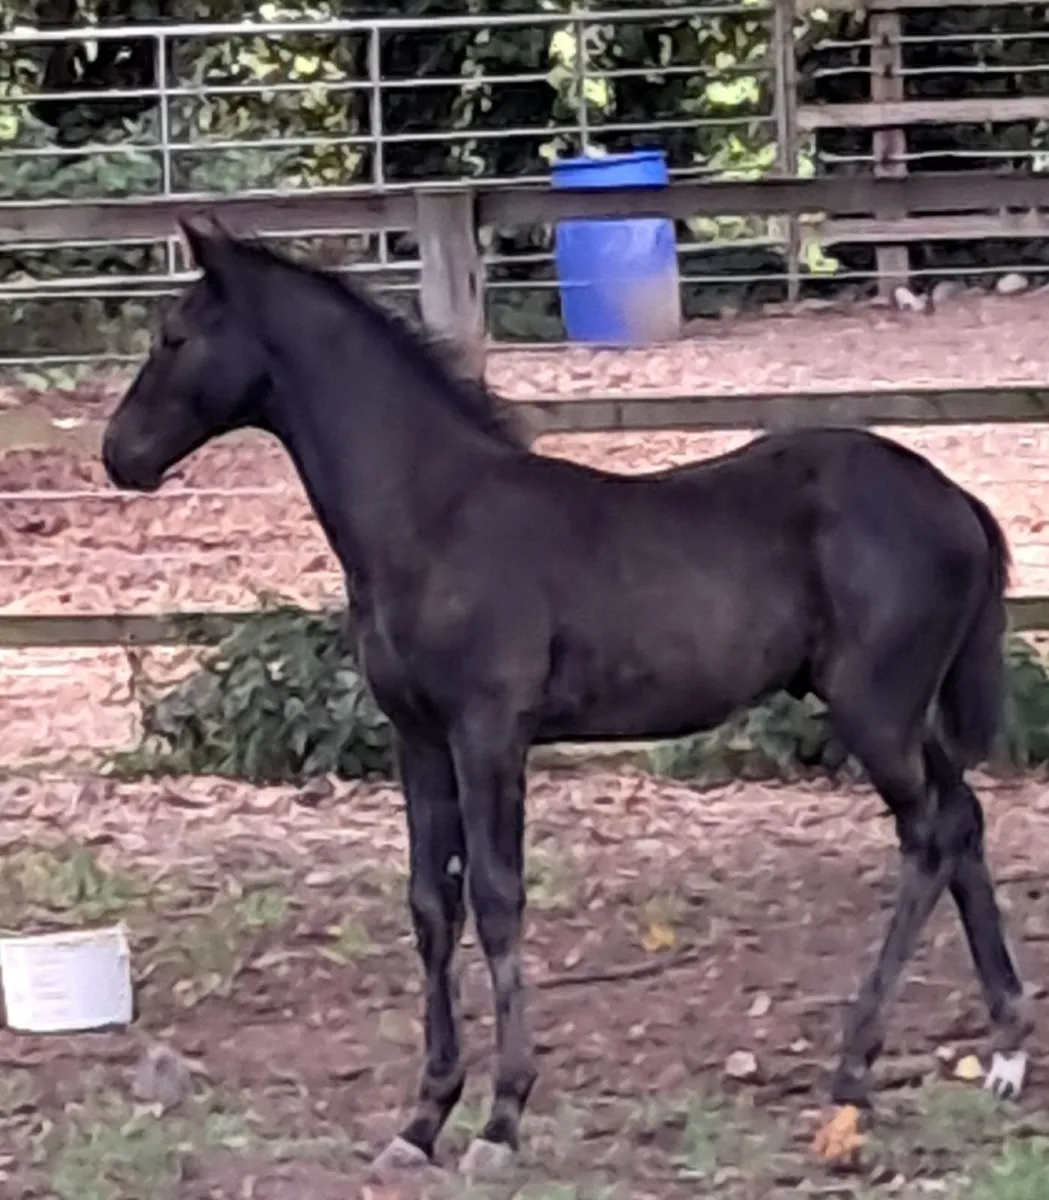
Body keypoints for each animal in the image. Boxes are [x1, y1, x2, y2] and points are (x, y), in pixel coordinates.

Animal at [101, 215, 1031, 1176]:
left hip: (872, 712)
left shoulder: (489, 732)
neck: (433, 517)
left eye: (174, 337)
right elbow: (430, 905)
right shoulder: (417, 738)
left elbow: (496, 900)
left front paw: (501, 1119)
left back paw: (854, 1069)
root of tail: (956, 500)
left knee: (927, 837)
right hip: (896, 712)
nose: (118, 455)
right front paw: (422, 1118)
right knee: (961, 820)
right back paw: (1003, 1050)